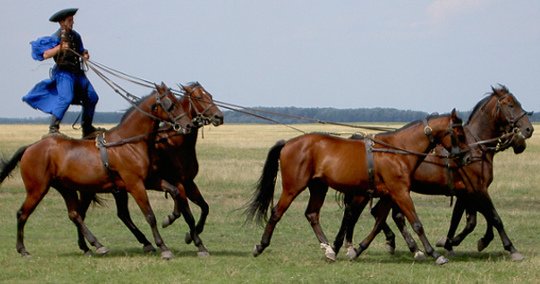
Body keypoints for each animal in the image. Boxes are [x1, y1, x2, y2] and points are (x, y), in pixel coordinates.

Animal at [0, 82, 194, 260]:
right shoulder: (135, 185)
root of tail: (30, 147)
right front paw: (163, 247)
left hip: (66, 189)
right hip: (38, 189)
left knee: (75, 215)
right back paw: (23, 249)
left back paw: (95, 245)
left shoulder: (148, 181)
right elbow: (150, 215)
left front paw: (171, 217)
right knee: (22, 214)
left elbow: (175, 191)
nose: (188, 125)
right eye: (172, 104)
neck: (129, 143)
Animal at [74, 81, 224, 256]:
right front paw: (194, 240)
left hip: (118, 190)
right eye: (199, 97)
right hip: (90, 190)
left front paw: (190, 235)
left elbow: (204, 208)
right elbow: (187, 214)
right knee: (81, 213)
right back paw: (87, 246)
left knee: (121, 214)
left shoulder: (188, 183)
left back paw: (143, 243)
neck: (176, 144)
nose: (219, 116)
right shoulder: (177, 183)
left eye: (210, 96)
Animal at [247, 109, 466, 264]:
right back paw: (261, 246)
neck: (396, 151)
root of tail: (288, 143)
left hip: (319, 187)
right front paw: (435, 254)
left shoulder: (389, 194)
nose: (464, 156)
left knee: (312, 214)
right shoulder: (400, 192)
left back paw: (329, 249)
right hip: (293, 187)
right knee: (277, 212)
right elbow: (416, 223)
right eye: (459, 132)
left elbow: (381, 221)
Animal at [336, 85, 532, 262]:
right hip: (368, 192)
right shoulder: (477, 189)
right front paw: (510, 248)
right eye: (511, 105)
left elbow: (467, 221)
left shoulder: (466, 193)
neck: (475, 146)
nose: (529, 130)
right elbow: (493, 217)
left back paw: (408, 247)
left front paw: (452, 242)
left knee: (381, 214)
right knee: (354, 213)